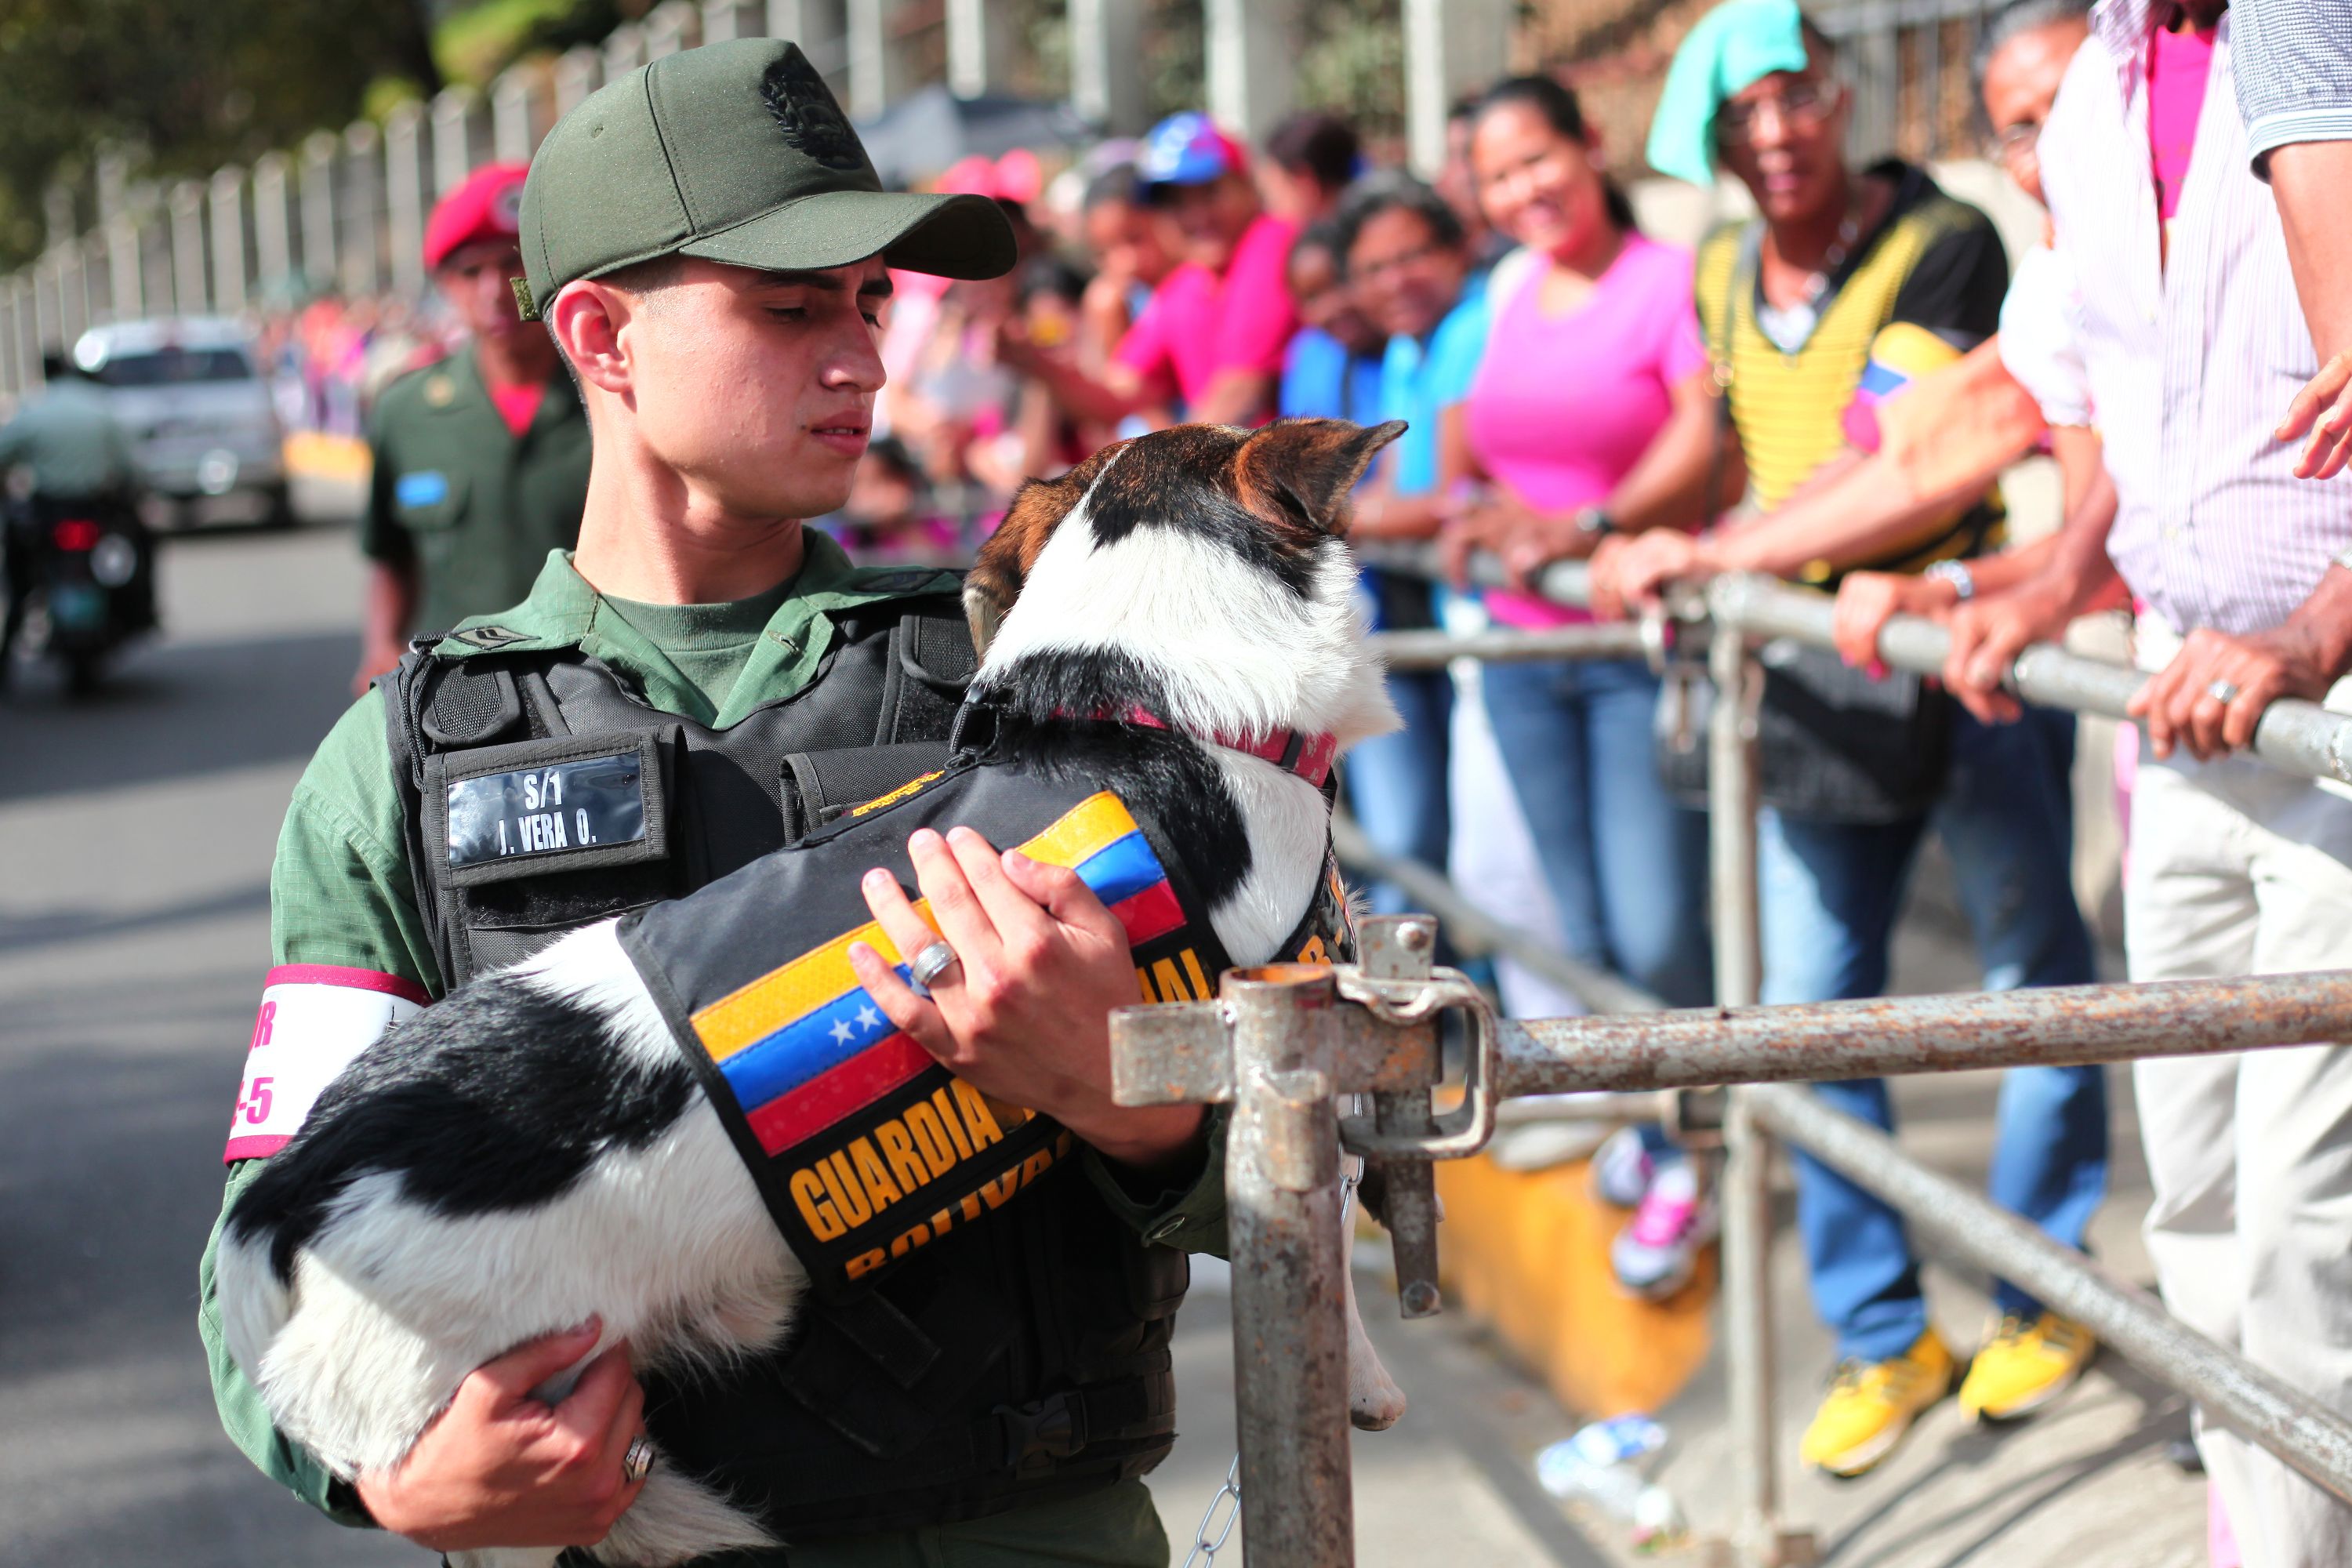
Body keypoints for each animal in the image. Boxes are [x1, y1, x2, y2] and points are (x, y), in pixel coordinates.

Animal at [216, 420, 1392, 1568]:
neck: (1130, 705)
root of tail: (273, 1213)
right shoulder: (1270, 1051)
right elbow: (1325, 1227)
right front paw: (1365, 1378)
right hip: (479, 1457)